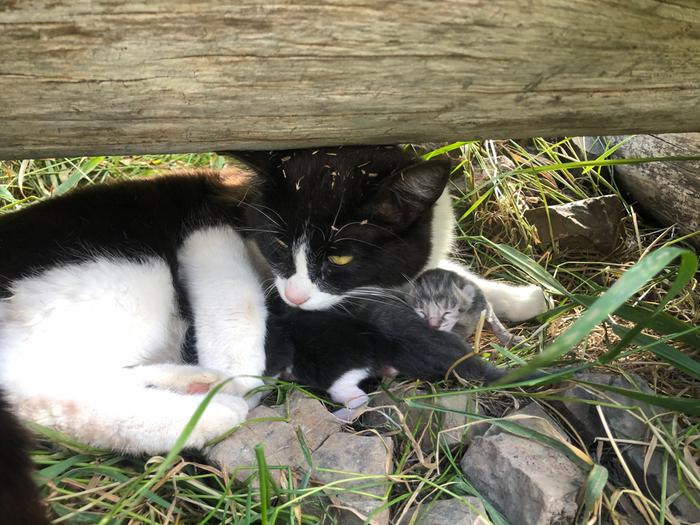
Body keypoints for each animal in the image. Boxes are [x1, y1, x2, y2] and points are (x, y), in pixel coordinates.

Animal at [0, 144, 548, 454]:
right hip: (122, 285)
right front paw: (241, 370)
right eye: (280, 245)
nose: (297, 295)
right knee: (43, 395)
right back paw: (210, 413)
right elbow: (239, 296)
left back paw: (194, 384)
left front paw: (523, 297)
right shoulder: (207, 226)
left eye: (340, 258)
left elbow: (454, 276)